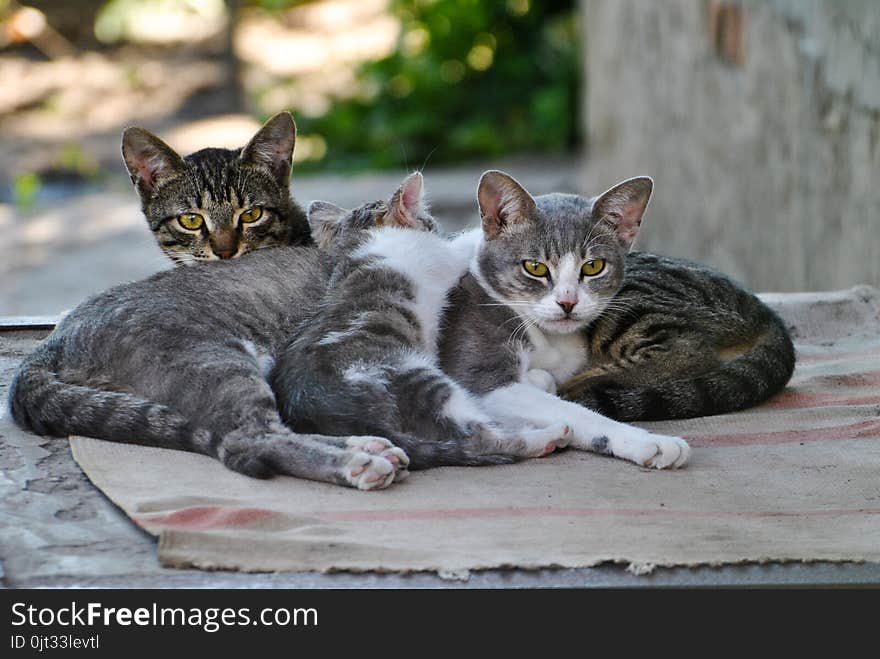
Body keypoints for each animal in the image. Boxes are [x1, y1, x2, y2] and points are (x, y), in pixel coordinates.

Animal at [270, 170, 572, 470]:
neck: (365, 237)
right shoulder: (439, 258)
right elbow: (458, 248)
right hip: (419, 382)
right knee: (478, 438)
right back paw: (548, 436)